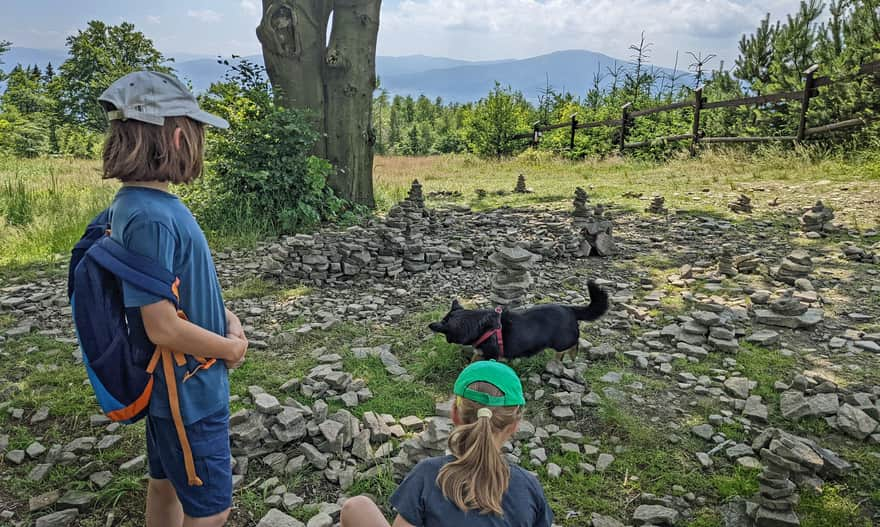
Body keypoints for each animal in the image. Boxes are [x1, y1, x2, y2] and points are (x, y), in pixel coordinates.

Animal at [428, 280, 608, 364]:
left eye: (443, 322)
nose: (432, 325)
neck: (480, 325)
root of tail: (569, 309)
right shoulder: (481, 353)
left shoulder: (491, 355)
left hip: (562, 341)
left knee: (573, 344)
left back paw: (568, 356)